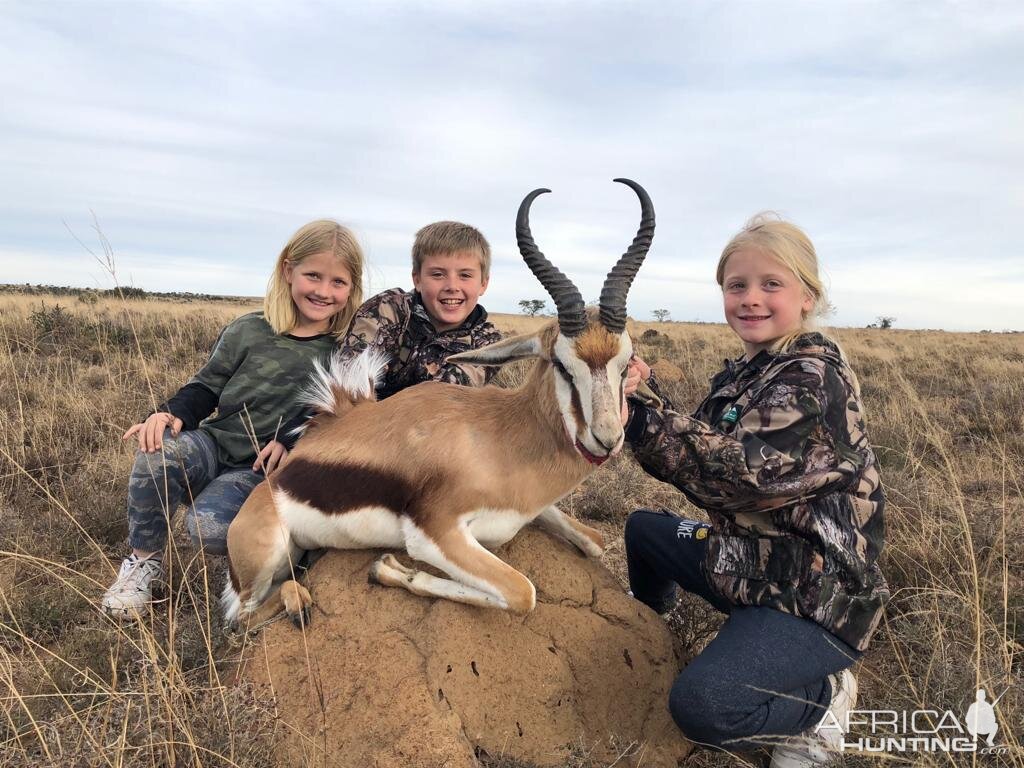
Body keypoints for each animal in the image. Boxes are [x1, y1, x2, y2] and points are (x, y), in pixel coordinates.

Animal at [223, 179, 655, 630]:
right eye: (561, 364)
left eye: (628, 364)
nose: (606, 440)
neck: (499, 439)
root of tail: (271, 485)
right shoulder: (434, 533)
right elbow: (524, 592)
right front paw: (389, 569)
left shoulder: (529, 511)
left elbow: (595, 540)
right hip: (266, 561)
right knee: (242, 618)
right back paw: (299, 602)